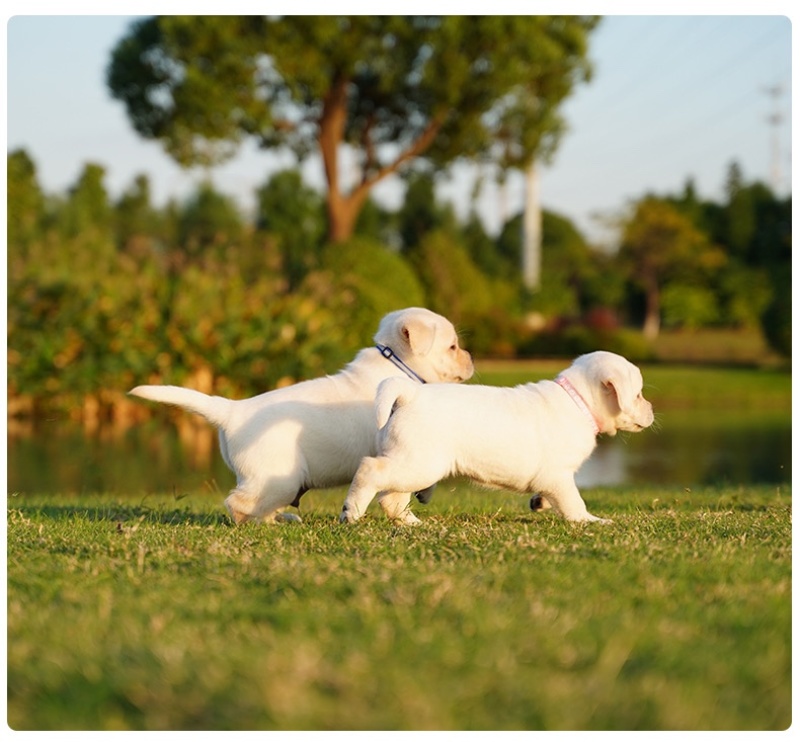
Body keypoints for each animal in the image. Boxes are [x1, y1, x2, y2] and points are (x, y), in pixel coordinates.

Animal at [128, 308, 472, 528]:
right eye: (453, 346)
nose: (471, 358)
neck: (398, 363)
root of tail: (232, 411)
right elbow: (397, 494)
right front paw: (410, 520)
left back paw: (284, 519)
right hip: (280, 479)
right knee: (239, 506)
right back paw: (266, 525)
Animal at [340, 352, 652, 528]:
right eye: (638, 394)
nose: (651, 409)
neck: (579, 401)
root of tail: (409, 394)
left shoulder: (556, 479)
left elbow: (553, 496)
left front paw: (540, 503)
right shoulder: (559, 476)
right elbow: (574, 503)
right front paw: (590, 521)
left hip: (412, 465)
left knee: (391, 498)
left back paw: (413, 523)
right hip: (417, 464)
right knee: (370, 471)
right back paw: (351, 513)